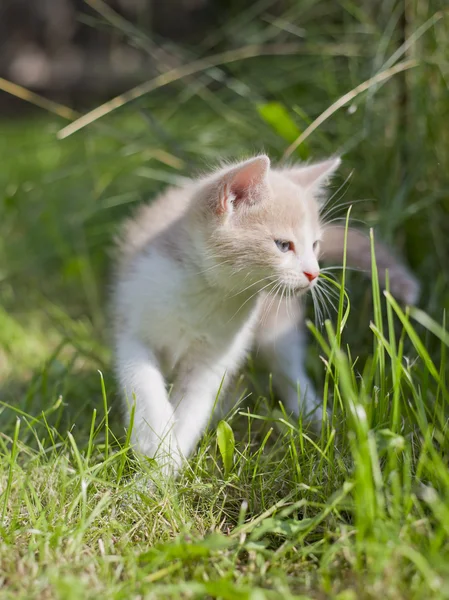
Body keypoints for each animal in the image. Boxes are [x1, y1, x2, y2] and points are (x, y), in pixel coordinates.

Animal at [111, 155, 416, 474]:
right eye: (283, 245)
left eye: (315, 245)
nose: (314, 273)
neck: (204, 291)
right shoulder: (132, 320)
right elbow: (141, 381)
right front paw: (155, 439)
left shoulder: (215, 357)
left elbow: (194, 406)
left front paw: (163, 468)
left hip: (276, 326)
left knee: (287, 366)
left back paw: (316, 417)